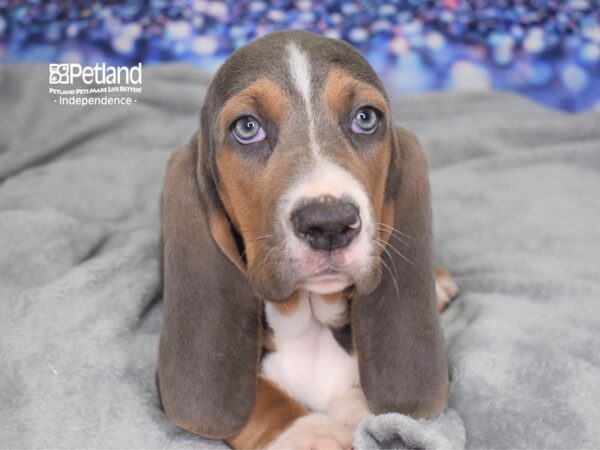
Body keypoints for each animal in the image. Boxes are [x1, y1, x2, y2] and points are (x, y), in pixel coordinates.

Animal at [157, 29, 458, 448]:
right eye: (247, 127)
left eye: (366, 118)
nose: (329, 223)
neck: (309, 321)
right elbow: (259, 398)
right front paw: (309, 432)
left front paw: (356, 407)